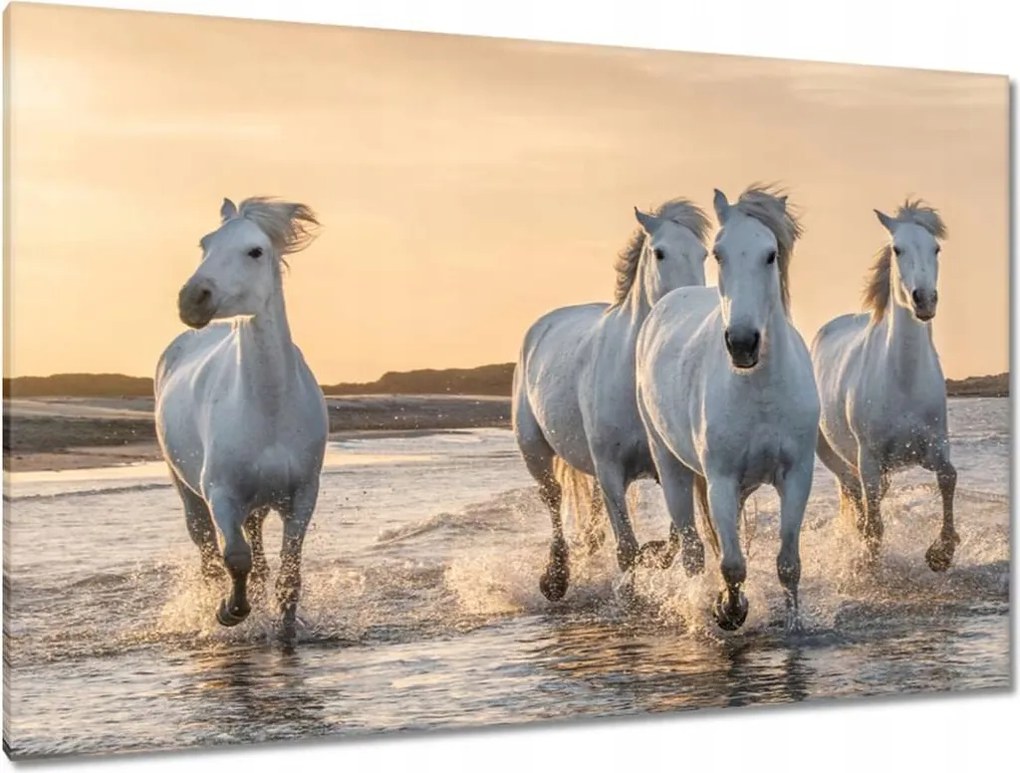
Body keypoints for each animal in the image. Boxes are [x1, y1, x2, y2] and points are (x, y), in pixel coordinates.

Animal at [155, 197, 329, 641]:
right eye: (205, 244)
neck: (268, 408)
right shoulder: (222, 494)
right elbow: (235, 557)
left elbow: (288, 575)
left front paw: (285, 630)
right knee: (208, 552)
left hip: (258, 504)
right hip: (190, 493)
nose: (192, 299)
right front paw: (230, 611)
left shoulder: (302, 495)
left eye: (255, 251)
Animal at [513, 198, 711, 601]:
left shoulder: (667, 465)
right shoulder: (611, 470)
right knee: (553, 498)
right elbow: (626, 550)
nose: (689, 305)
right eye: (659, 252)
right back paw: (555, 578)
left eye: (703, 253)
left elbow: (670, 539)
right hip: (535, 450)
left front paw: (654, 556)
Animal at [636, 185, 819, 632]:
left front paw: (793, 625)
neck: (760, 390)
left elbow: (788, 564)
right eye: (718, 254)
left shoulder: (796, 476)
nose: (742, 343)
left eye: (770, 254)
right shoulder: (720, 479)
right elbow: (732, 564)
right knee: (693, 550)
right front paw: (729, 610)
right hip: (672, 467)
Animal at [811, 200, 958, 572]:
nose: (924, 300)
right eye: (897, 249)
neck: (903, 380)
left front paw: (941, 553)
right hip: (834, 454)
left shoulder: (935, 448)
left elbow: (949, 478)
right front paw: (868, 564)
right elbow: (874, 524)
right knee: (853, 492)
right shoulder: (870, 460)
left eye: (936, 248)